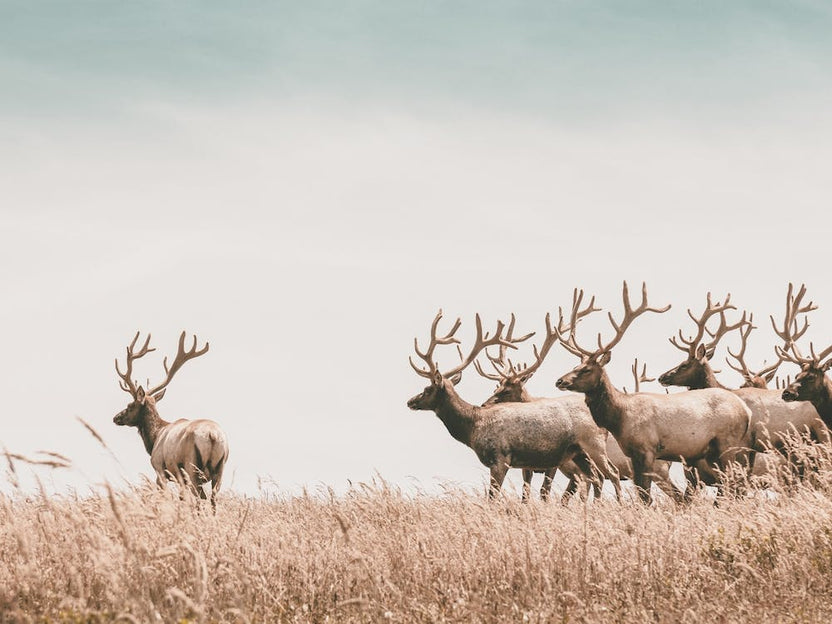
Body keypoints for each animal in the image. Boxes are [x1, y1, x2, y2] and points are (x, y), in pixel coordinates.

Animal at [113, 331, 229, 510]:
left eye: (130, 405)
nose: (116, 417)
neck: (154, 439)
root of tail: (212, 436)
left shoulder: (160, 468)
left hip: (191, 467)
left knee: (198, 498)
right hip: (220, 468)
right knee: (213, 499)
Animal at [407, 310, 623, 501]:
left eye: (427, 389)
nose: (410, 401)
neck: (473, 426)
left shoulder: (500, 458)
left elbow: (493, 497)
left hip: (593, 443)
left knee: (611, 473)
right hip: (579, 453)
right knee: (597, 478)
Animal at [474, 298, 682, 503]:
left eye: (507, 390)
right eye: (496, 386)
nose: (484, 405)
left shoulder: (565, 468)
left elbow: (551, 493)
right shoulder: (534, 465)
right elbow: (528, 493)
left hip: (653, 467)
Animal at [554, 282, 754, 505]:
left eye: (586, 369)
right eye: (575, 365)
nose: (560, 381)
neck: (620, 417)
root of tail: (747, 412)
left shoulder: (647, 450)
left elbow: (645, 496)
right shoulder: (633, 454)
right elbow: (642, 493)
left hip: (728, 443)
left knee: (733, 482)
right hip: (713, 452)